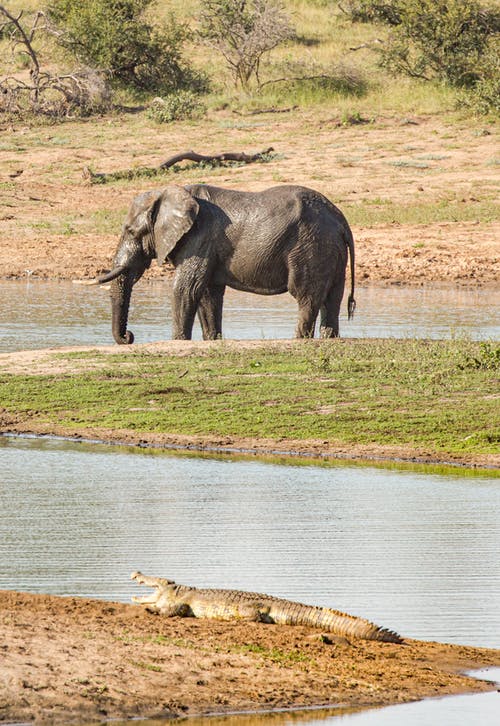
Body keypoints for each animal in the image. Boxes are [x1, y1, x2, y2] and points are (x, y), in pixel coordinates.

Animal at [96, 185, 356, 344]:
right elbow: (207, 295)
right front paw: (212, 341)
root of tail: (341, 219)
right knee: (332, 298)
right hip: (329, 250)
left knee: (306, 296)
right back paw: (328, 338)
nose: (129, 337)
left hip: (312, 246)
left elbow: (186, 289)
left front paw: (178, 341)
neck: (171, 192)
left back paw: (299, 339)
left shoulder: (200, 237)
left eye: (131, 231)